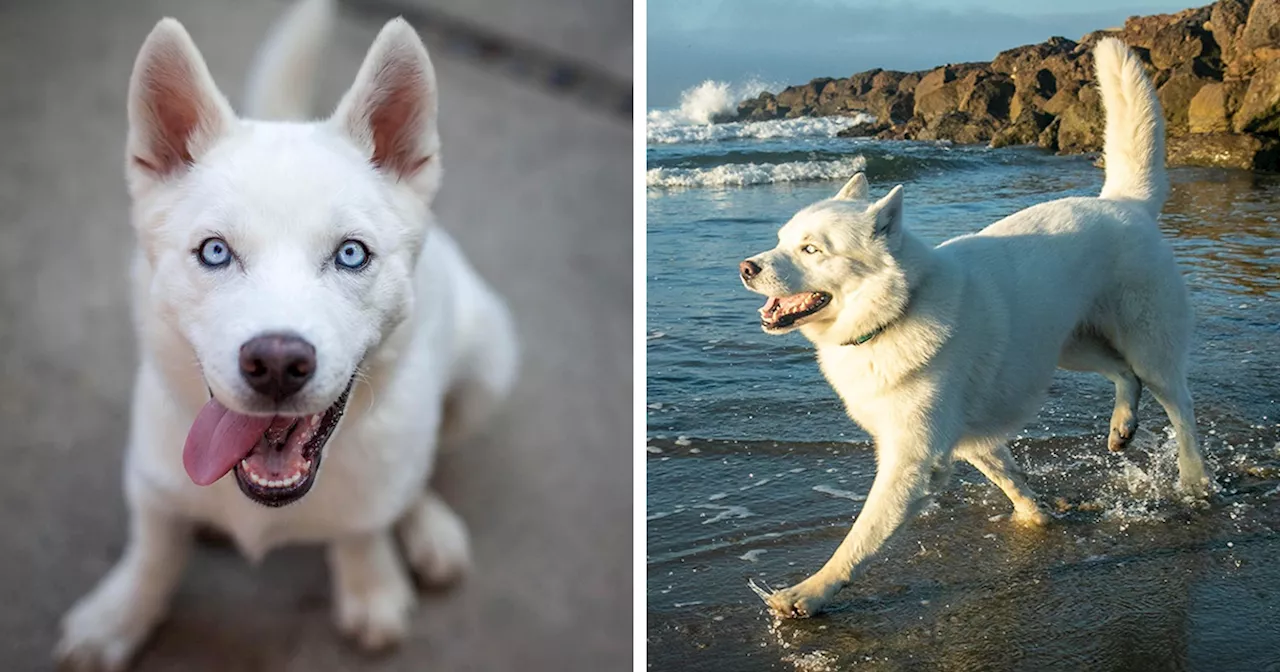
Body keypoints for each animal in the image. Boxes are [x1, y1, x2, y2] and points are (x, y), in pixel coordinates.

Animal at [55, 0, 514, 665]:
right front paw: (118, 615)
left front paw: (370, 581)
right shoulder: (150, 475)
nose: (275, 363)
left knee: (424, 467)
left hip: (489, 368)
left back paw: (426, 526)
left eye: (351, 254)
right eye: (215, 251)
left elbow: (365, 525)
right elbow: (155, 547)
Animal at [742, 39, 1208, 619]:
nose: (746, 268)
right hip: (1067, 345)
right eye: (782, 240)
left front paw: (810, 592)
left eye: (811, 249)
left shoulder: (913, 460)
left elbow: (860, 538)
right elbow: (1008, 476)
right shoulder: (966, 440)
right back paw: (1122, 427)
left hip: (1148, 344)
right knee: (1124, 374)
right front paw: (1037, 518)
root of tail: (1124, 204)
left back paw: (1195, 480)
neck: (898, 310)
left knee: (1179, 403)